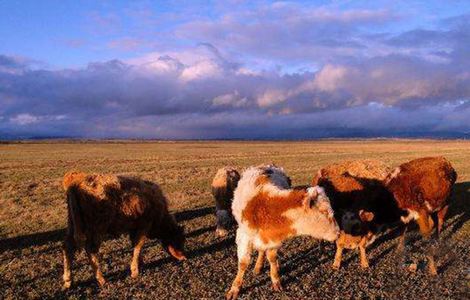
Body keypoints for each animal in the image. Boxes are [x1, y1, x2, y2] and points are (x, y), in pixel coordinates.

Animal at [227, 165, 340, 298]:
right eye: (325, 211)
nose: (338, 233)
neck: (264, 208)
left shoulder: (273, 239)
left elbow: (271, 258)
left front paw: (276, 280)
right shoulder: (244, 236)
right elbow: (243, 263)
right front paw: (235, 288)